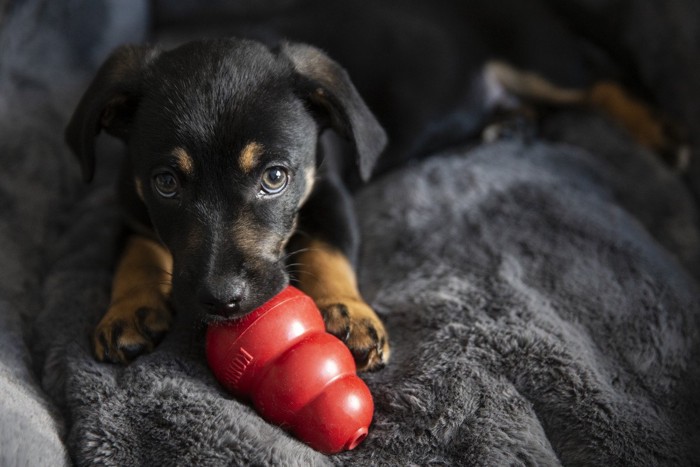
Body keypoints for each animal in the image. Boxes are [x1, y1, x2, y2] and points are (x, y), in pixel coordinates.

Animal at [65, 37, 392, 372]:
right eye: (166, 182)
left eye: (274, 177)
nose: (222, 300)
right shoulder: (131, 207)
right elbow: (136, 253)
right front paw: (128, 309)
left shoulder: (330, 193)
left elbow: (329, 249)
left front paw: (347, 310)